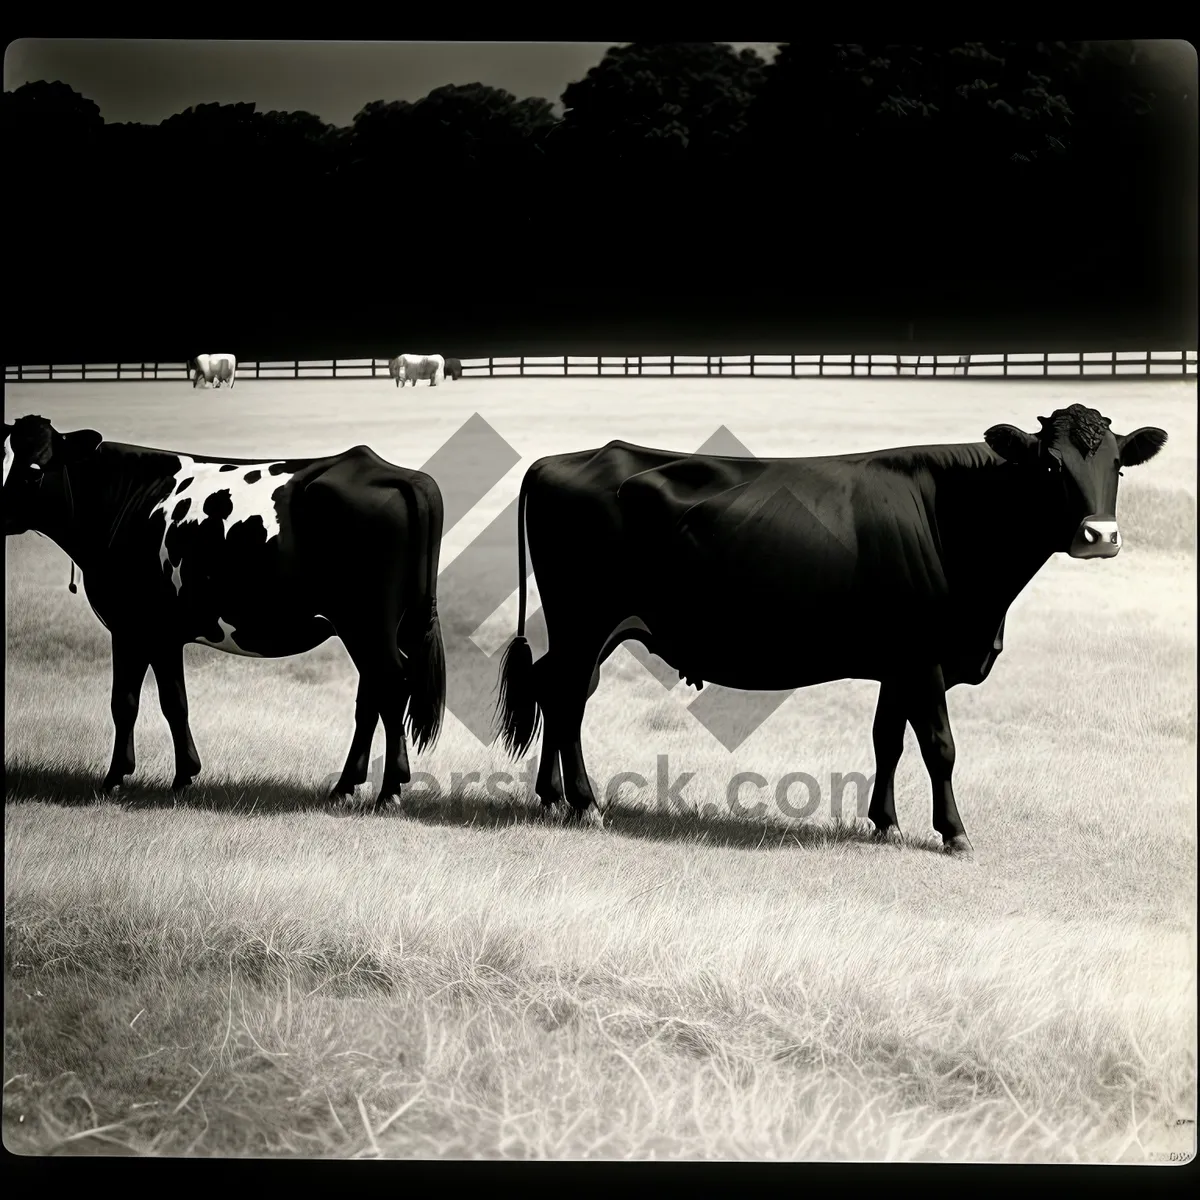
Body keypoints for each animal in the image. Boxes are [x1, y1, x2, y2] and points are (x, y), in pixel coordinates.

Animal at [4, 412, 446, 806]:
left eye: (34, 469)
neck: (126, 501)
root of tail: (391, 471)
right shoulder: (163, 634)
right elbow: (174, 702)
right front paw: (183, 777)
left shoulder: (132, 626)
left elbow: (125, 702)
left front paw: (114, 780)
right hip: (380, 626)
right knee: (372, 695)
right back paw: (344, 787)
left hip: (367, 622)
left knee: (392, 686)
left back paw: (389, 791)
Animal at [492, 405, 1166, 854]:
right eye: (1050, 464)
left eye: (1117, 466)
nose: (1099, 536)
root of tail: (563, 458)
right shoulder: (924, 656)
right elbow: (940, 745)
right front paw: (954, 833)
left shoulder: (901, 663)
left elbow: (888, 740)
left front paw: (886, 822)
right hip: (586, 621)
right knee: (567, 699)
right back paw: (585, 804)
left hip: (591, 632)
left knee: (558, 691)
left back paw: (552, 797)